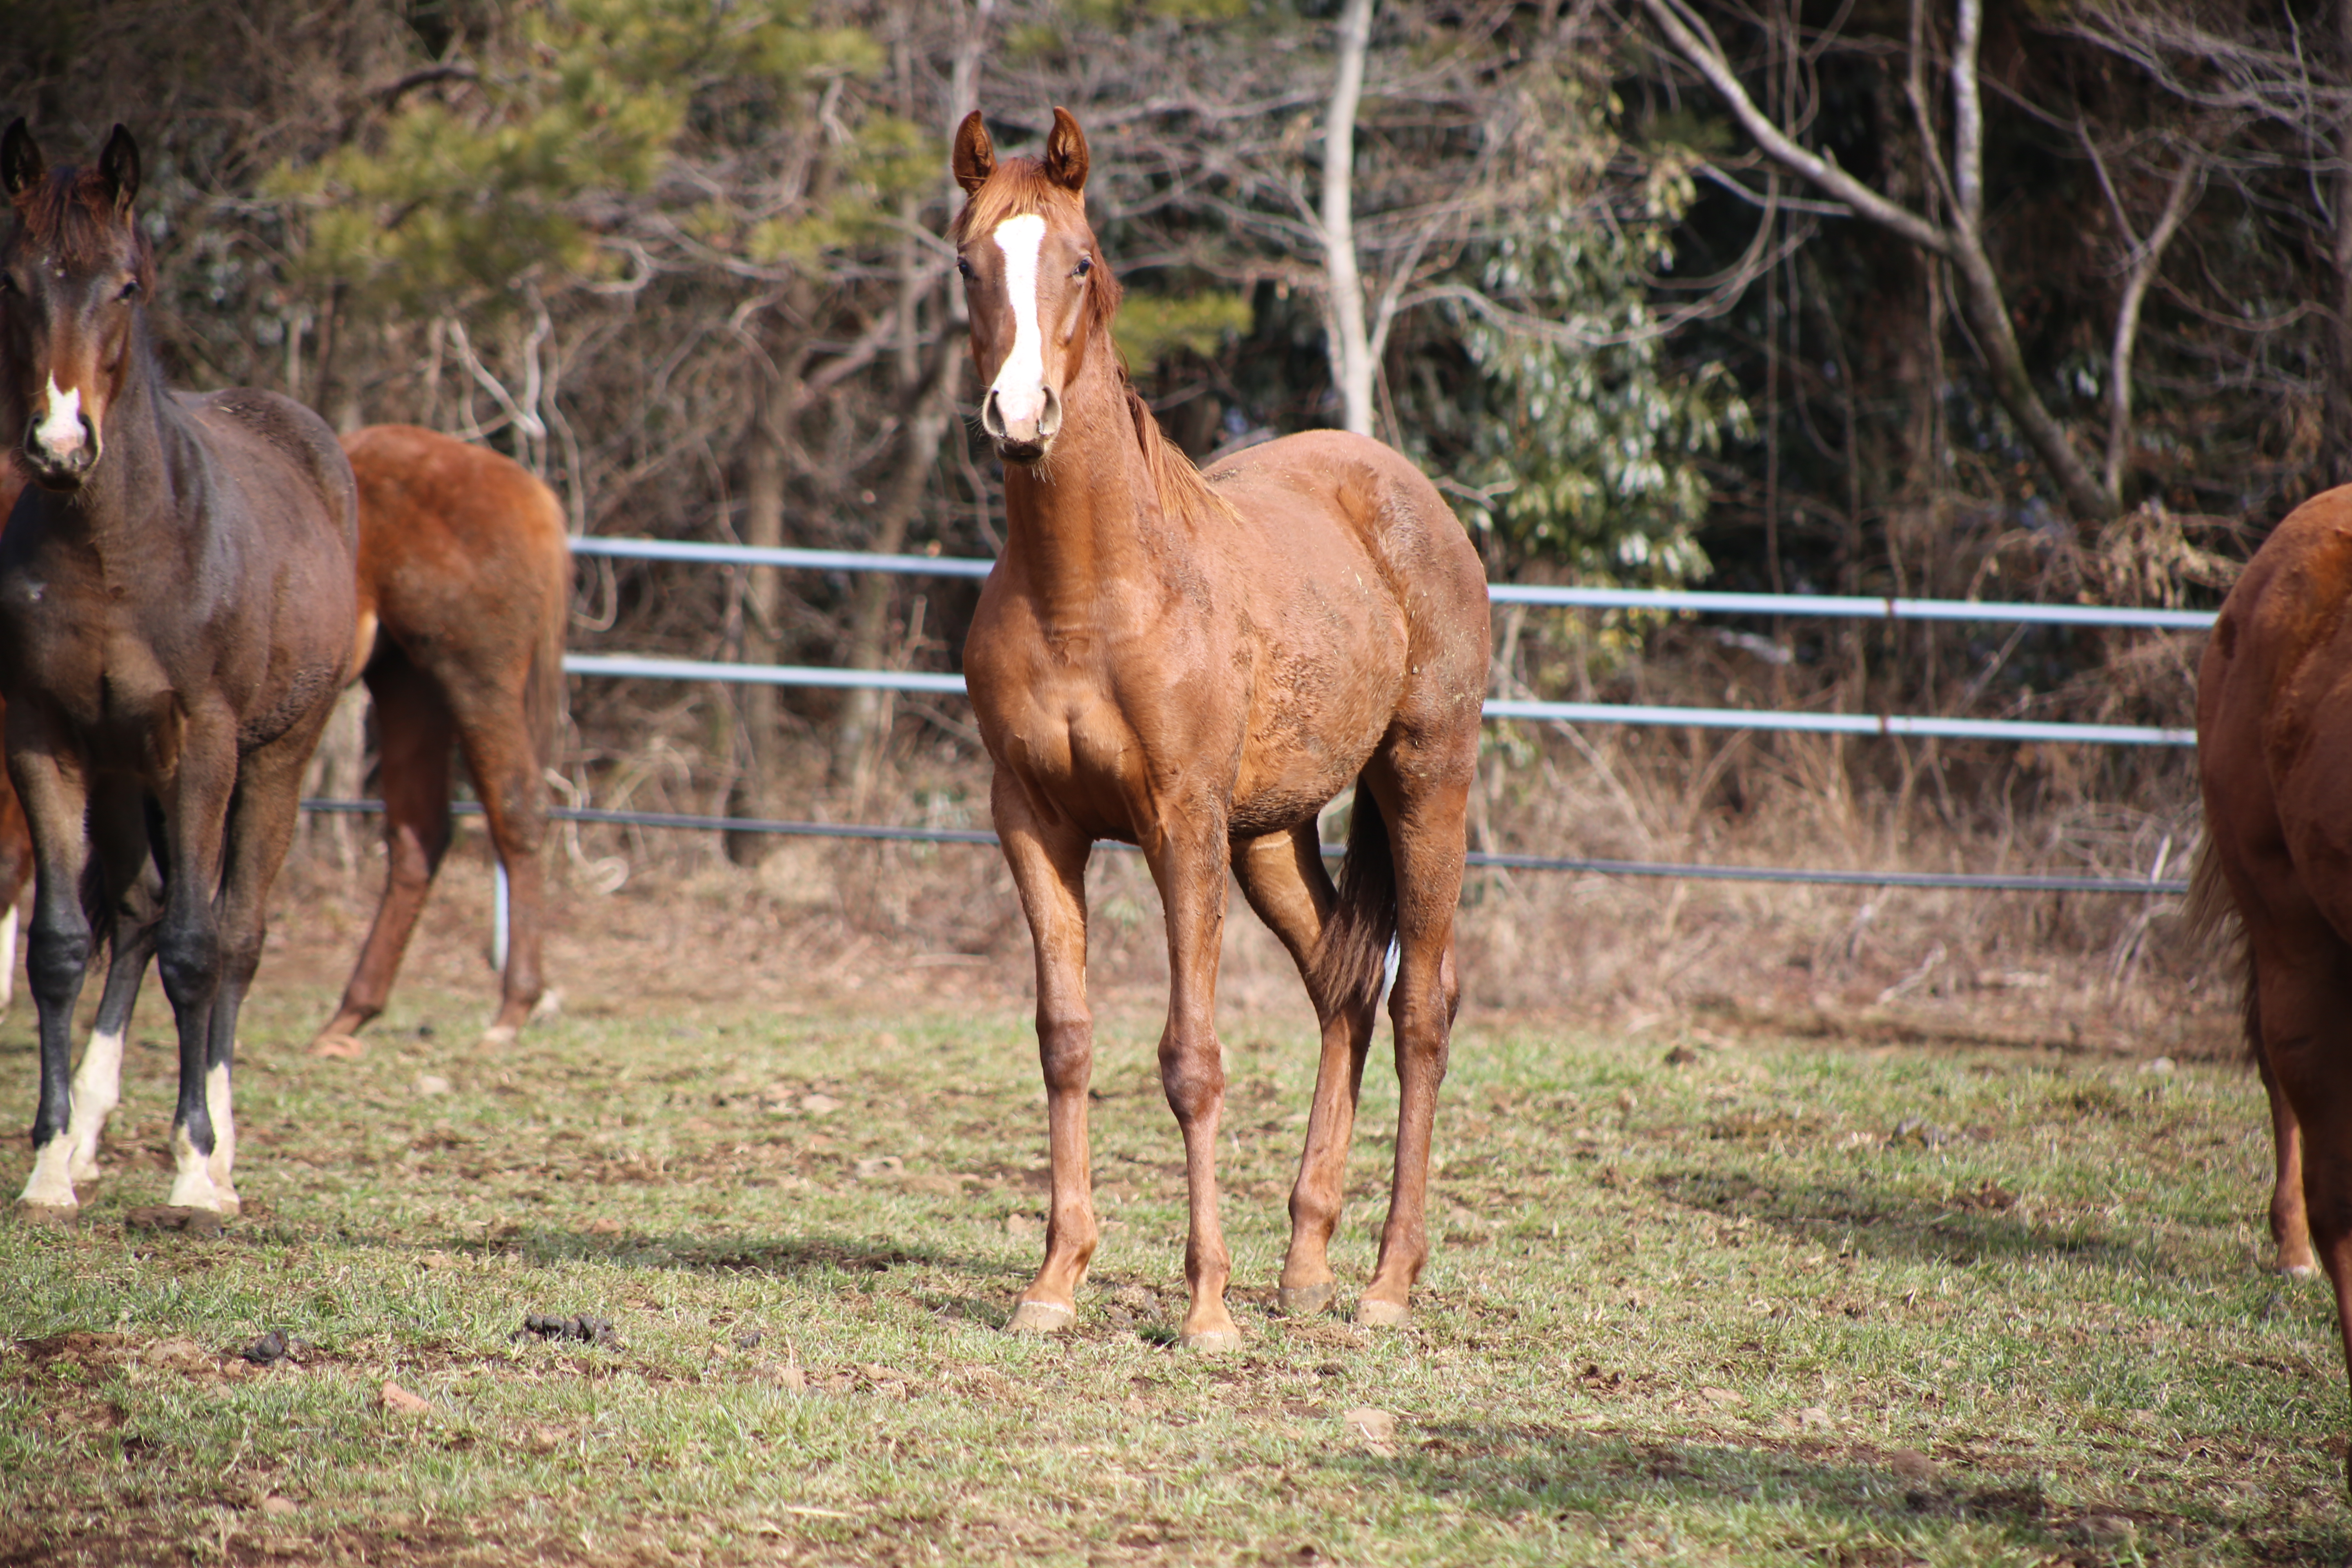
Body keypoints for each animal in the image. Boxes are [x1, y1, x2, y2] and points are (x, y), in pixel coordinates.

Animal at [1, 126, 362, 1222]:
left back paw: (219, 1147)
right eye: (15, 281)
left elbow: (204, 948)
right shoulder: (43, 737)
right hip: (126, 770)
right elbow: (60, 945)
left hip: (274, 756)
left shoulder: (204, 740)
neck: (118, 552)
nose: (61, 441)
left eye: (126, 285)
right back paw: (87, 1136)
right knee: (137, 912)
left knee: (232, 930)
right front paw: (47, 1163)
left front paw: (198, 1167)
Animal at [950, 110, 1486, 1354]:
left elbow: (1190, 1059)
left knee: (1420, 1006)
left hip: (1424, 784)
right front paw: (1055, 1281)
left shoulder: (1178, 823)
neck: (1091, 593)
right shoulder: (1033, 823)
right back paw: (1305, 1265)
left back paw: (1386, 1282)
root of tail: (1405, 491)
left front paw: (1203, 1308)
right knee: (1343, 990)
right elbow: (1065, 1040)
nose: (1019, 415)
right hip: (1272, 837)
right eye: (967, 266)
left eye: (1080, 261)